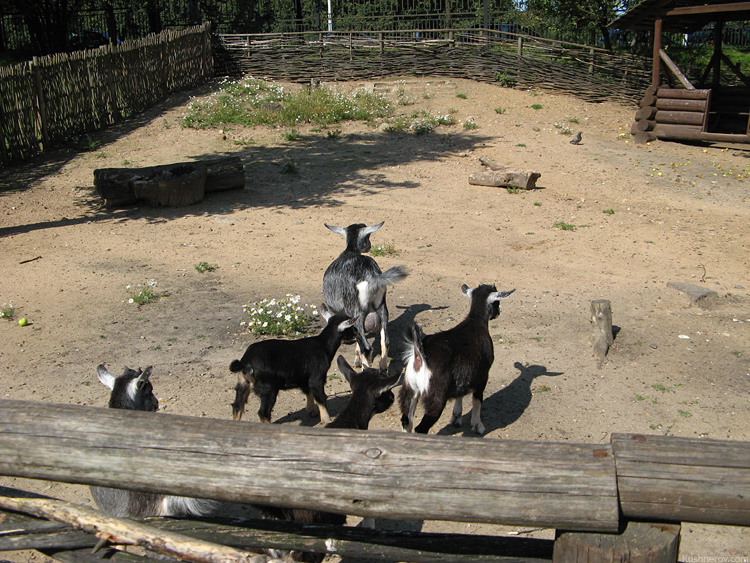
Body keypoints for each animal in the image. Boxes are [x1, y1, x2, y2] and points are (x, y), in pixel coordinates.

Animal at [322, 223, 408, 372]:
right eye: (368, 237)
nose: (370, 246)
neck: (350, 251)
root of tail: (369, 275)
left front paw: (357, 360)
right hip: (382, 309)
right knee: (385, 341)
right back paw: (383, 368)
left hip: (357, 313)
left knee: (367, 348)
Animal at [400, 286, 516, 436]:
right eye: (497, 302)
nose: (498, 313)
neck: (475, 321)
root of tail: (419, 354)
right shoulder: (482, 376)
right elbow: (477, 401)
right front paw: (477, 426)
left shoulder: (462, 377)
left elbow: (459, 395)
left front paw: (456, 417)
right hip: (435, 396)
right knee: (421, 428)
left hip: (409, 388)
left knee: (406, 421)